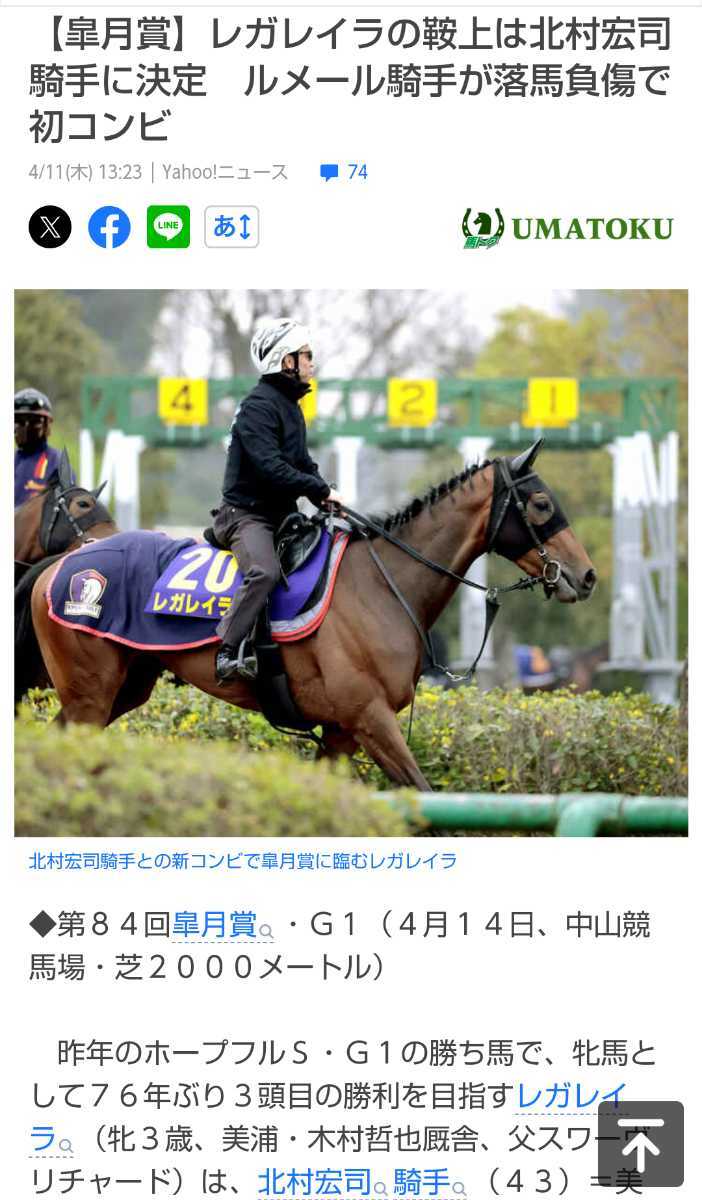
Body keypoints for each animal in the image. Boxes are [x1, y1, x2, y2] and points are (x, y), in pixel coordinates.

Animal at [28, 441, 597, 787]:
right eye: (541, 504)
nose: (586, 575)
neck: (381, 585)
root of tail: (64, 563)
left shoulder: (343, 732)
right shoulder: (370, 718)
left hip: (124, 687)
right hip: (91, 693)